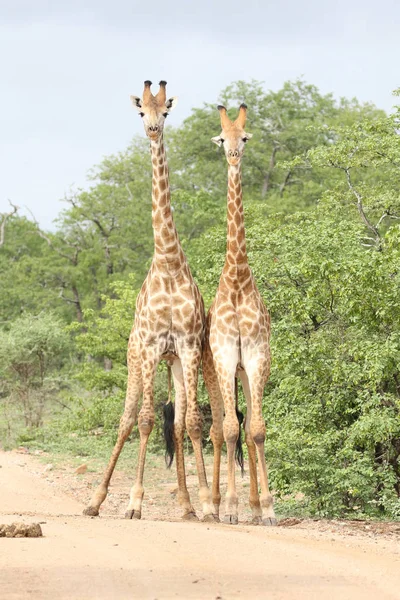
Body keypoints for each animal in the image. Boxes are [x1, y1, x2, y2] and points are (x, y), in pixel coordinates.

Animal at [83, 79, 216, 520]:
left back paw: (186, 503)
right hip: (135, 359)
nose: (154, 130)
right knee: (127, 419)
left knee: (174, 422)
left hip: (172, 363)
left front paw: (204, 504)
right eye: (141, 111)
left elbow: (191, 423)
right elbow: (143, 421)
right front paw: (135, 502)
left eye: (167, 111)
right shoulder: (153, 345)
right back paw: (95, 501)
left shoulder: (187, 346)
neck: (169, 263)